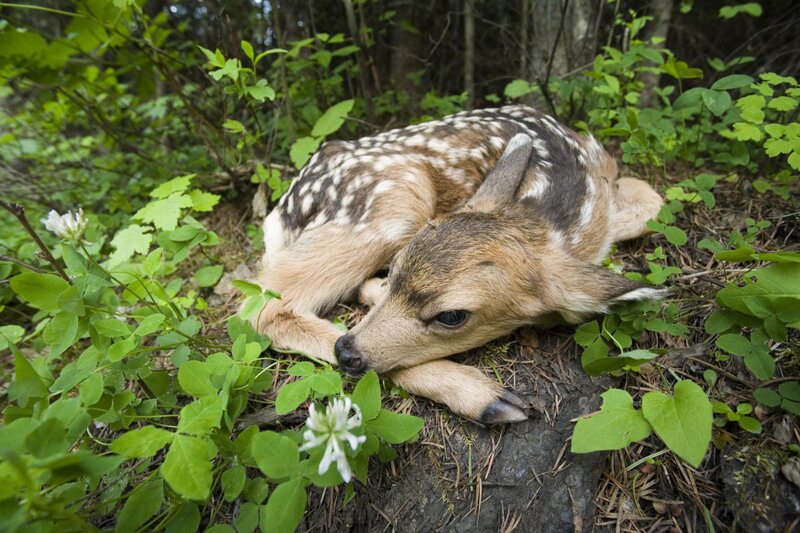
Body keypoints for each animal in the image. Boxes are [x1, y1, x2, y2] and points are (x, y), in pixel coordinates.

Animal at [251, 105, 664, 425]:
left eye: (452, 316)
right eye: (396, 267)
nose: (347, 353)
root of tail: (279, 215)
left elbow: (652, 201)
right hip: (398, 196)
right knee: (263, 309)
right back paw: (487, 397)